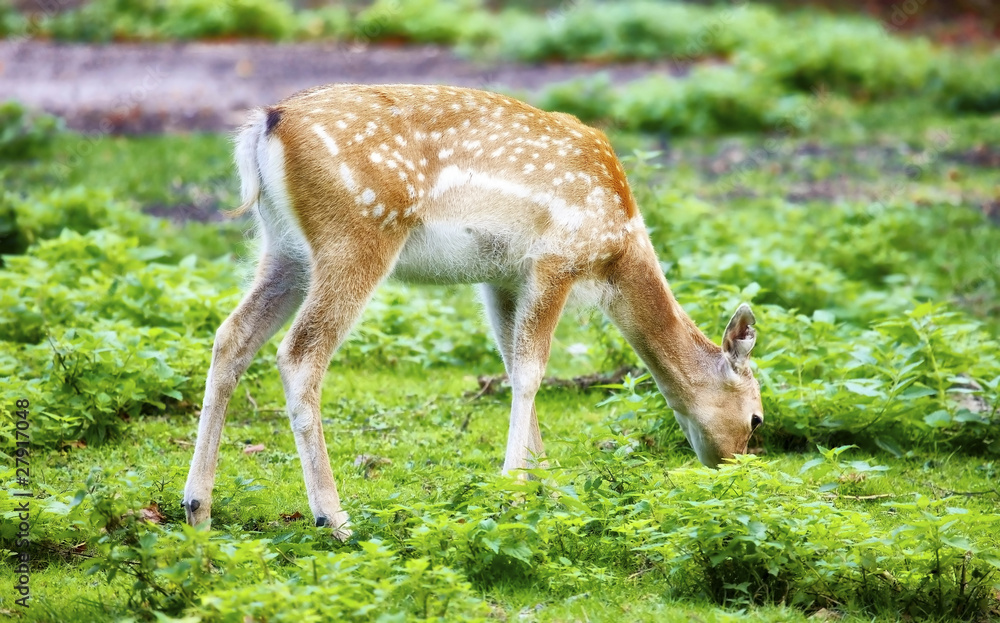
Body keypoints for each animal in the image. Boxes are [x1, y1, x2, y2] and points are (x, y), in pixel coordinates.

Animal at [182, 83, 764, 540]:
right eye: (756, 417)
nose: (736, 468)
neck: (617, 251)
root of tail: (265, 126)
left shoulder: (501, 278)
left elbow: (511, 366)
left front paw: (548, 489)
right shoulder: (555, 261)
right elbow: (530, 373)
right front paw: (514, 490)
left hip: (282, 248)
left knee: (230, 337)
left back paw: (197, 509)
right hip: (356, 235)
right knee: (300, 354)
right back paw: (335, 519)